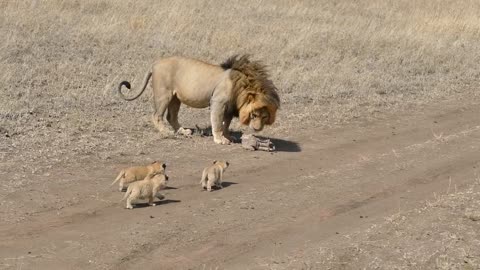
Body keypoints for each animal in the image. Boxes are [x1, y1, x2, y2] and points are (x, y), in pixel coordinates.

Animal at [117, 53, 280, 144]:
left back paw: (183, 131)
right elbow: (217, 123)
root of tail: (155, 63)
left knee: (171, 117)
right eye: (254, 115)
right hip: (164, 94)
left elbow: (226, 124)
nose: (257, 129)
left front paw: (228, 136)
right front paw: (220, 139)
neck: (241, 87)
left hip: (176, 98)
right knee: (157, 115)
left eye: (265, 116)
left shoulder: (229, 107)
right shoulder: (218, 102)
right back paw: (166, 132)